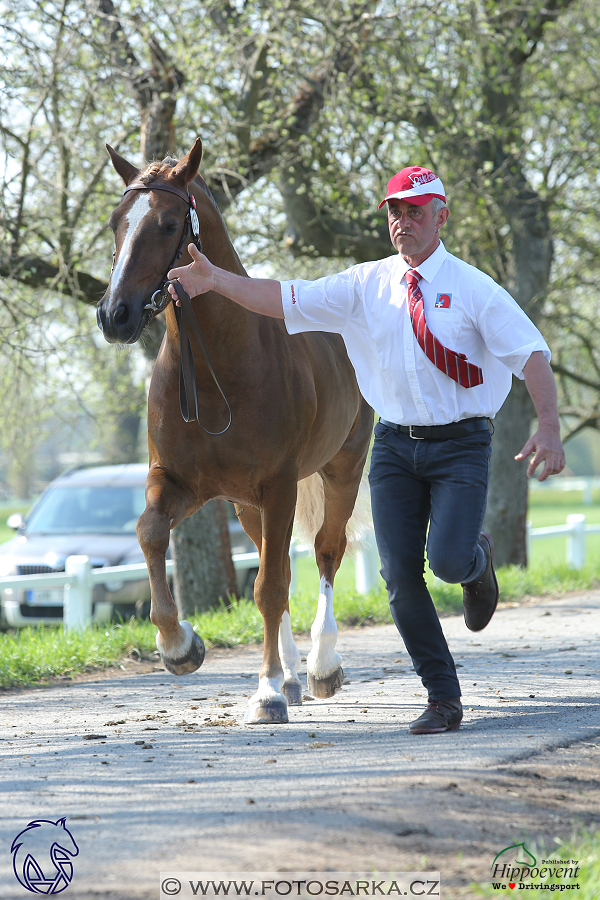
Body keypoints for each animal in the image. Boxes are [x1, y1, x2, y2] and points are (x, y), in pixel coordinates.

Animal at [96, 139, 372, 724]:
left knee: (326, 552)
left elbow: (270, 587)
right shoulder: (179, 483)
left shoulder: (279, 485)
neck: (216, 365)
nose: (114, 314)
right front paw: (180, 646)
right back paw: (291, 675)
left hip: (341, 469)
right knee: (282, 563)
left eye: (168, 223)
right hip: (248, 507)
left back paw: (320, 668)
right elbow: (150, 533)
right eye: (116, 222)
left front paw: (265, 693)